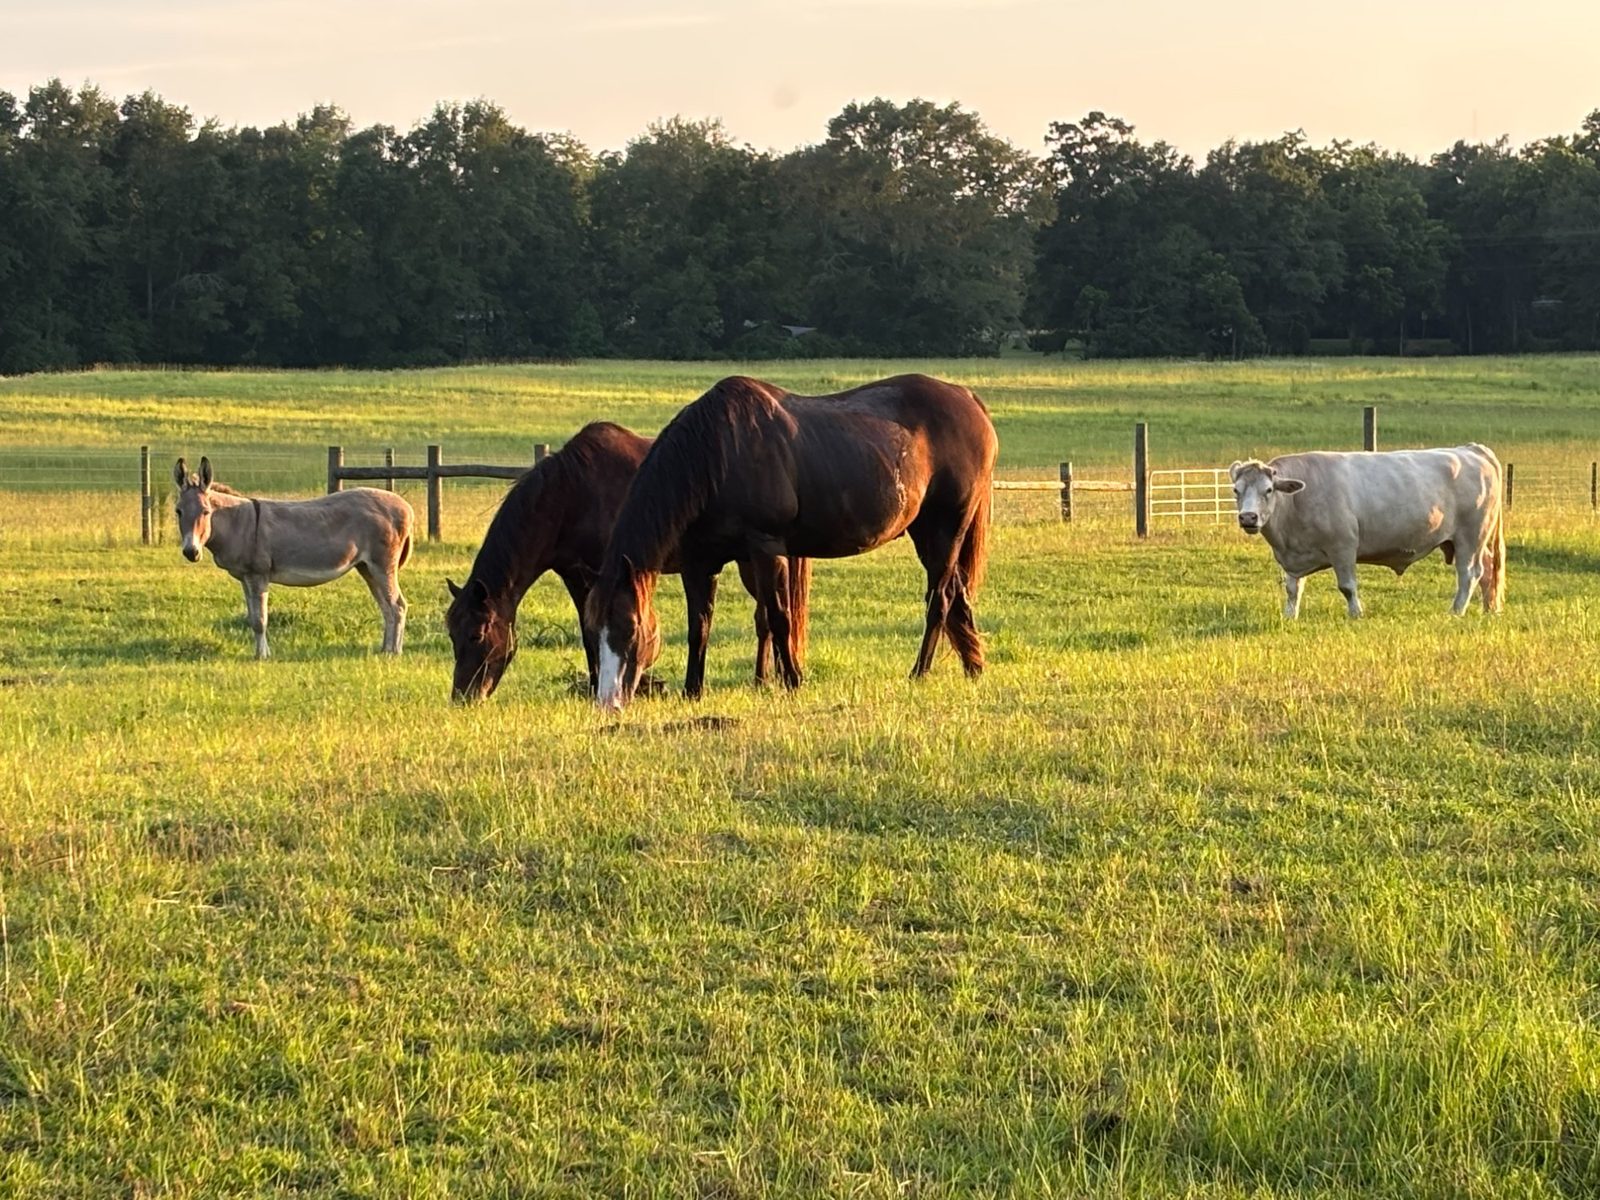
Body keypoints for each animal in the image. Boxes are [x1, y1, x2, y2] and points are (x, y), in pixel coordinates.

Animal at [172, 457, 414, 658]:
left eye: (206, 512)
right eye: (178, 511)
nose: (191, 552)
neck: (238, 523)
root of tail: (406, 507)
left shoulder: (258, 575)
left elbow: (260, 620)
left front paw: (262, 656)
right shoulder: (245, 578)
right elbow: (252, 618)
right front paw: (261, 653)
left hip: (383, 565)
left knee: (397, 605)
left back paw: (395, 652)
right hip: (366, 567)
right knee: (387, 607)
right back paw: (384, 650)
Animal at [444, 421, 811, 702]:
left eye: (476, 635)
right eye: (452, 635)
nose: (463, 697)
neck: (570, 496)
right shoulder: (575, 575)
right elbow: (588, 633)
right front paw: (595, 684)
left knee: (767, 617)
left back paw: (765, 679)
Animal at [586, 374, 996, 711]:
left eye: (630, 627)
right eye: (592, 631)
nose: (609, 702)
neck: (718, 454)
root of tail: (968, 398)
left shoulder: (766, 548)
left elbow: (779, 616)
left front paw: (793, 681)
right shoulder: (699, 561)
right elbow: (699, 625)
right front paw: (693, 691)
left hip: (947, 528)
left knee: (939, 599)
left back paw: (920, 672)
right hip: (926, 532)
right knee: (956, 594)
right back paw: (973, 668)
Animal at [1229, 445, 1505, 619]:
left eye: (1268, 490)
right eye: (1236, 490)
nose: (1248, 517)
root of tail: (1471, 449)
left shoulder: (1343, 547)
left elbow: (1347, 586)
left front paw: (1356, 614)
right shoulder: (1293, 557)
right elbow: (1292, 589)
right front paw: (1289, 616)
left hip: (1470, 537)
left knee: (1469, 574)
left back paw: (1456, 611)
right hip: (1473, 542)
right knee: (1487, 570)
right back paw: (1489, 609)